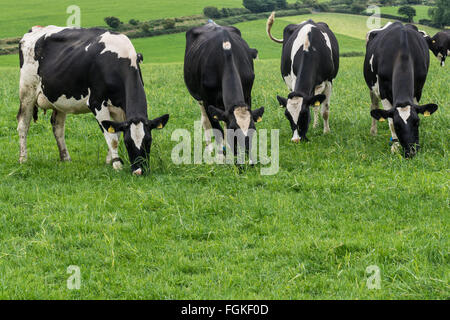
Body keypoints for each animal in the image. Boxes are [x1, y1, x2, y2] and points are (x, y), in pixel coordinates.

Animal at [17, 25, 169, 175]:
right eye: (128, 143)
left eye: (148, 141)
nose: (139, 171)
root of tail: (36, 29)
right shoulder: (97, 103)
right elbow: (113, 138)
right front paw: (117, 165)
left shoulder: (120, 109)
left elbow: (116, 133)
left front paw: (109, 161)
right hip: (27, 91)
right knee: (23, 124)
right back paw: (23, 159)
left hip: (59, 98)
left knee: (58, 126)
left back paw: (65, 158)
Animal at [185, 22, 266, 158]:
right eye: (233, 131)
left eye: (253, 129)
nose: (244, 155)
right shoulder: (207, 101)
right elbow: (217, 130)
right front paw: (220, 157)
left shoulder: (247, 95)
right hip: (199, 98)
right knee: (205, 121)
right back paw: (209, 148)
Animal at [266, 12, 340, 142]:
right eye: (287, 116)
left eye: (304, 114)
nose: (296, 140)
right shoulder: (294, 80)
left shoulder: (328, 81)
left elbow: (325, 110)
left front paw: (326, 132)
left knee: (316, 106)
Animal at [364, 21, 438, 158]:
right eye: (398, 126)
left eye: (417, 122)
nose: (411, 151)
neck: (402, 51)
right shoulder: (383, 91)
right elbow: (389, 121)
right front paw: (395, 147)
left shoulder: (418, 90)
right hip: (372, 87)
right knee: (374, 106)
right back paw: (373, 132)